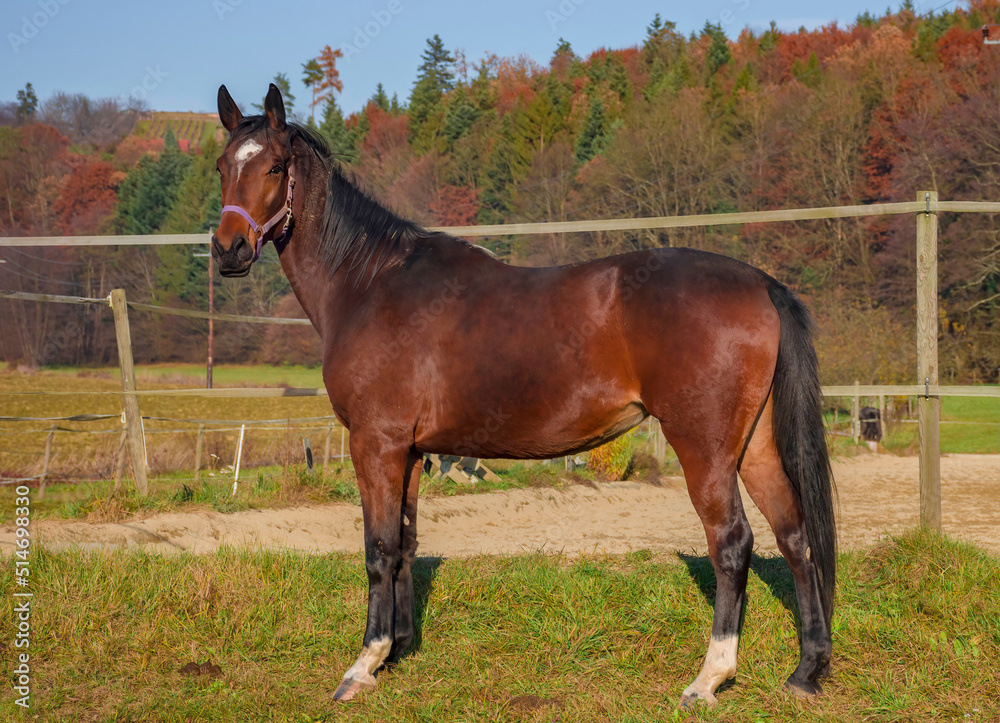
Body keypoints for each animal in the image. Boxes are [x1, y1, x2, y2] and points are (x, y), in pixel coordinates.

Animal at [211, 83, 836, 707]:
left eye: (274, 167)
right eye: (221, 166)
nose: (228, 250)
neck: (369, 282)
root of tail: (760, 283)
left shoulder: (376, 444)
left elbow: (378, 549)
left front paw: (365, 662)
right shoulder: (409, 452)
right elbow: (407, 543)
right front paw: (400, 648)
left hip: (704, 449)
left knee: (732, 542)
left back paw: (710, 677)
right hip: (753, 447)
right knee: (795, 535)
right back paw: (807, 670)